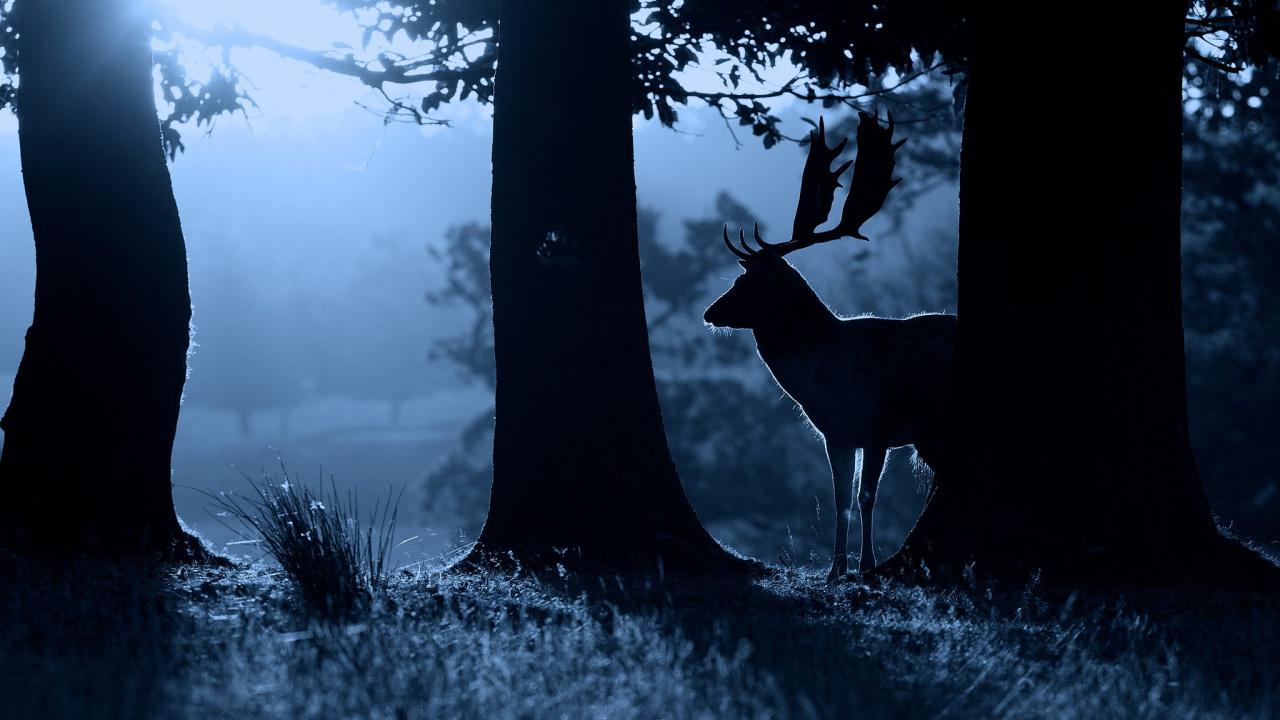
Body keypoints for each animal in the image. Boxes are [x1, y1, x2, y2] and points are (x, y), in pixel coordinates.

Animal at [703, 112, 955, 581]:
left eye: (753, 281)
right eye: (738, 277)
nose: (711, 313)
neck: (829, 382)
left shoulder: (879, 425)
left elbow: (866, 497)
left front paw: (867, 566)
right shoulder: (834, 435)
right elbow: (840, 500)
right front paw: (835, 570)